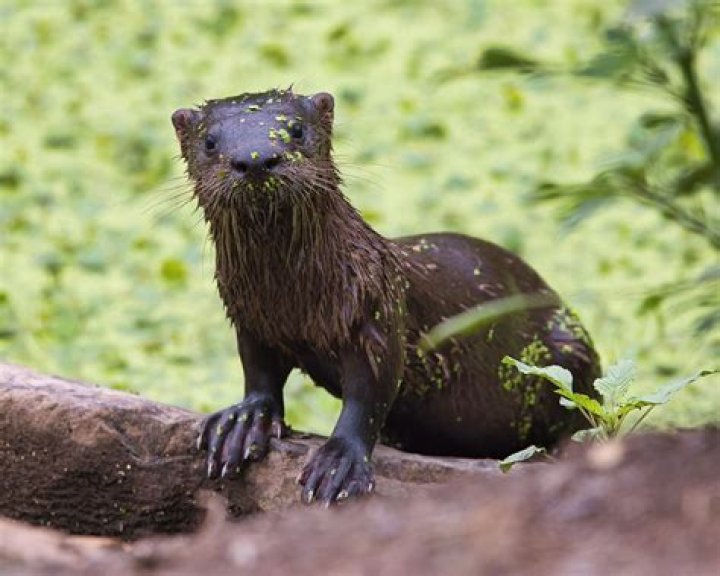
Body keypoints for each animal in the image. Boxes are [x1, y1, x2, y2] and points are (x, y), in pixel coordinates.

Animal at [171, 88, 600, 504]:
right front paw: (243, 423)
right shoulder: (249, 316)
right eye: (210, 142)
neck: (290, 297)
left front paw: (340, 460)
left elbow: (370, 392)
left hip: (570, 349)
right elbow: (258, 371)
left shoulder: (374, 307)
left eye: (296, 130)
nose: (256, 160)